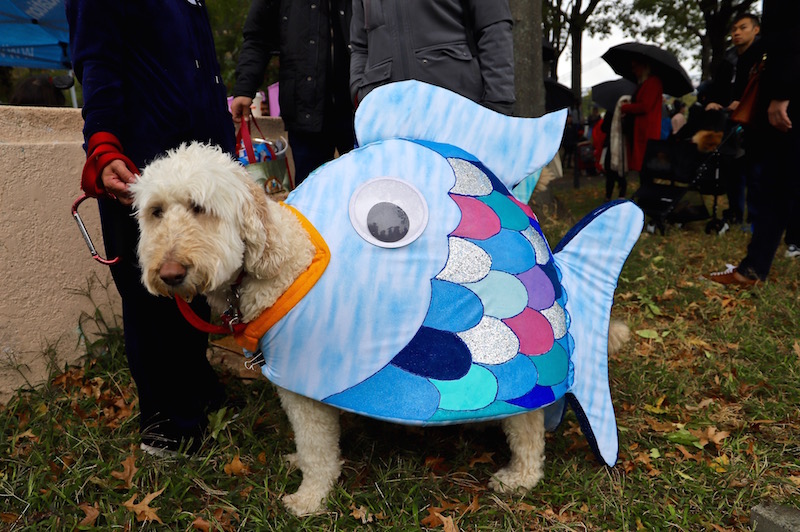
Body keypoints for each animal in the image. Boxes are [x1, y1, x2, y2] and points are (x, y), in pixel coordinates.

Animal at [133, 143, 632, 516]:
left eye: (201, 208)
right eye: (155, 212)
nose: (170, 272)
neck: (280, 263)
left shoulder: (302, 383)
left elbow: (316, 448)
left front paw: (309, 499)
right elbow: (312, 445)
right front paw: (302, 466)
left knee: (527, 429)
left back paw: (520, 478)